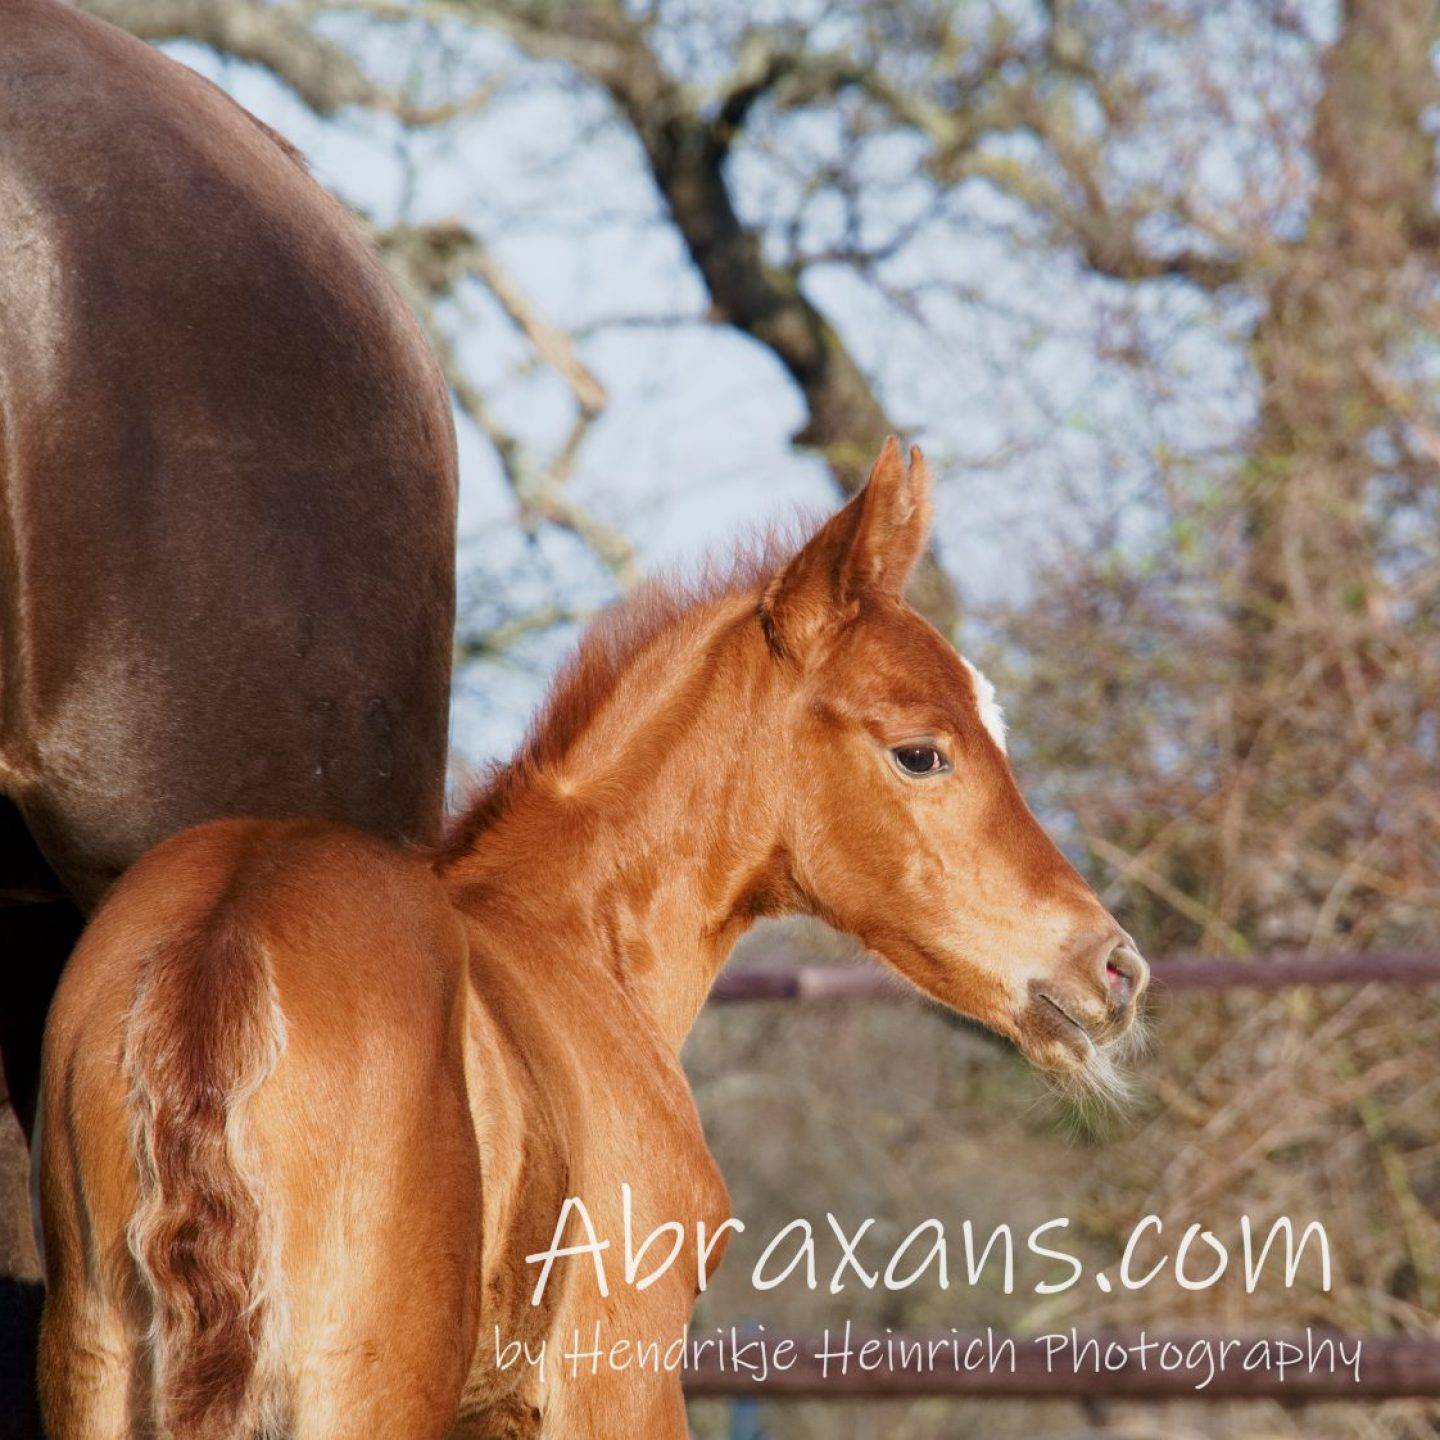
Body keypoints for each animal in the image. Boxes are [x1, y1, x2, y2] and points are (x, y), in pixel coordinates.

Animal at [36, 440, 1146, 1440]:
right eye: (920, 753)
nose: (1112, 965)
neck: (575, 940)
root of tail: (222, 943)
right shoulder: (620, 1374)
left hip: (96, 1366)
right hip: (367, 1385)